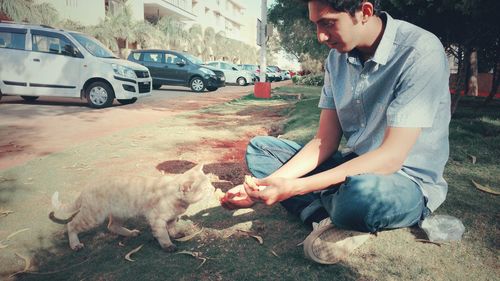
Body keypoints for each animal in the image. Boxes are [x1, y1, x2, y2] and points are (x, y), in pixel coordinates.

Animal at [49, 163, 214, 250]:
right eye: (206, 188)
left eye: (210, 183)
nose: (213, 189)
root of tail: (86, 187)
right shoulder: (156, 219)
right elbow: (162, 234)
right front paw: (168, 245)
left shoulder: (172, 217)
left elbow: (172, 227)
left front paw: (175, 234)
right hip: (92, 217)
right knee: (71, 225)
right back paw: (75, 244)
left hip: (119, 214)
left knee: (111, 226)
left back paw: (130, 233)